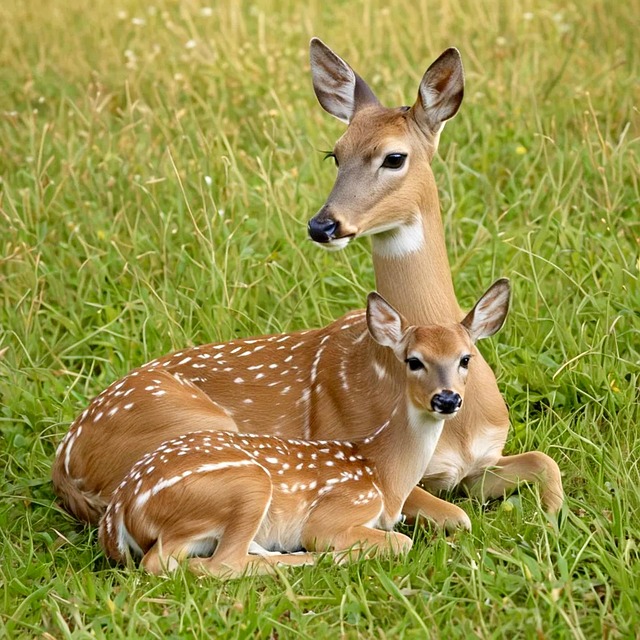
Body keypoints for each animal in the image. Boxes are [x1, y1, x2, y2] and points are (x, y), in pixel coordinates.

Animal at [52, 39, 563, 530]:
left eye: (395, 157)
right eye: (335, 154)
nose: (323, 225)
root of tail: (66, 459)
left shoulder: (482, 459)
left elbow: (546, 461)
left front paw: (553, 518)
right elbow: (455, 515)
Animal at [99, 281, 510, 577]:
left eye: (465, 358)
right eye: (413, 361)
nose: (447, 399)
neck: (382, 474)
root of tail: (120, 508)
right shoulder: (333, 515)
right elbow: (399, 542)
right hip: (247, 487)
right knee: (211, 565)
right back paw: (312, 561)